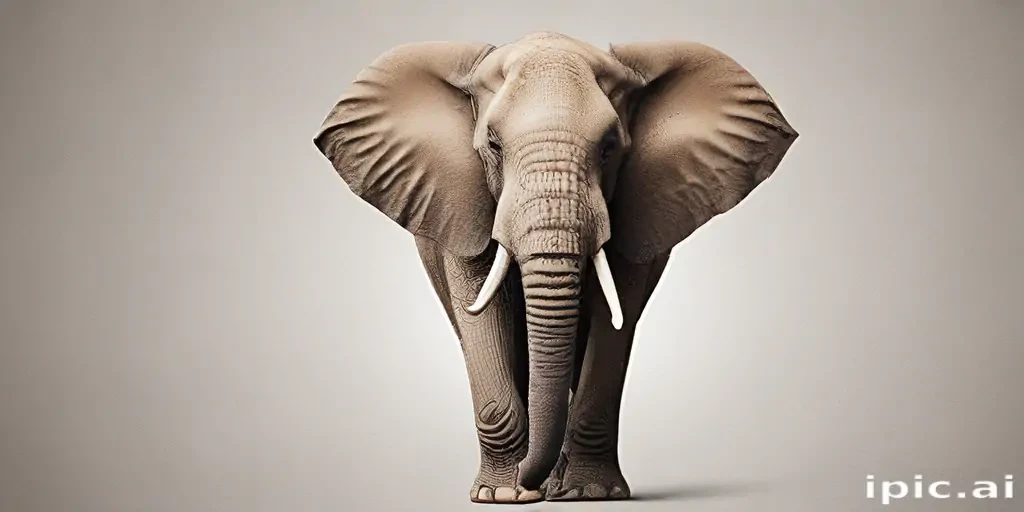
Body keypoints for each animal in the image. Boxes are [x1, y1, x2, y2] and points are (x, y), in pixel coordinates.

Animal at [313, 31, 798, 503]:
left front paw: (589, 493)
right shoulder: (460, 198)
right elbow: (480, 308)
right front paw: (501, 494)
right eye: (493, 146)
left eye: (609, 148)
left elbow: (612, 318)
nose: (531, 483)